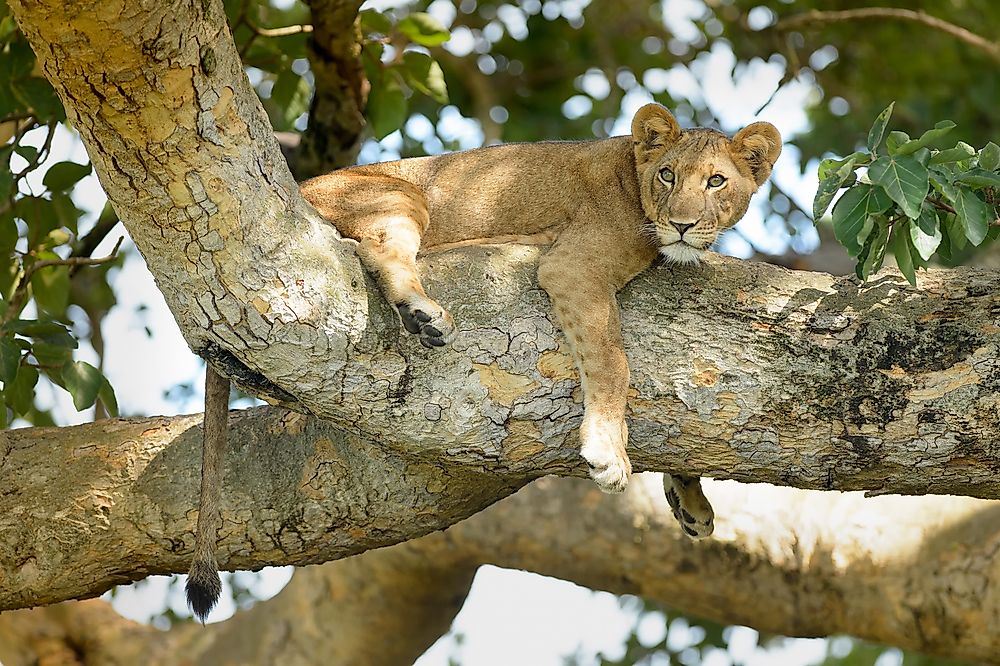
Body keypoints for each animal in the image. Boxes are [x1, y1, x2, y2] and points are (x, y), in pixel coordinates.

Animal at [186, 102, 780, 616]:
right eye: (667, 175)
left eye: (716, 182)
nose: (682, 225)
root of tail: (299, 186)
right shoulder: (573, 266)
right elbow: (614, 362)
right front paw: (609, 451)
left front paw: (690, 501)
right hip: (401, 193)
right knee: (376, 250)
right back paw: (424, 314)